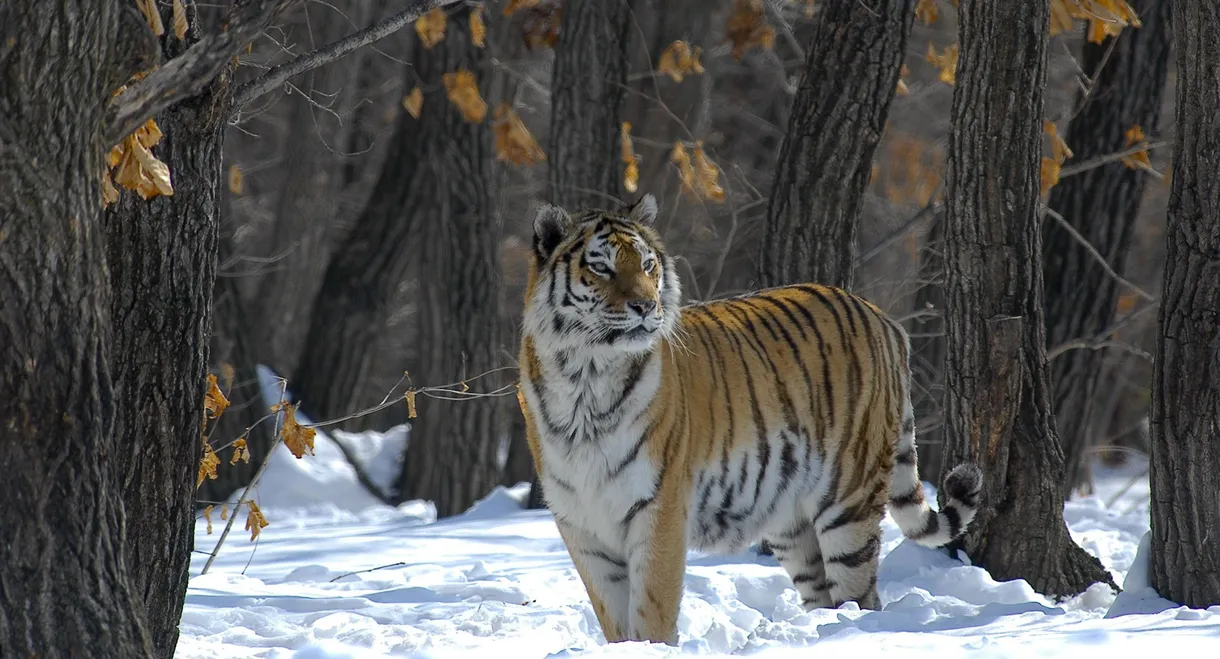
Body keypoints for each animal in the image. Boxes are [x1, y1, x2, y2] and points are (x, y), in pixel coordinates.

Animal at [516, 194, 983, 645]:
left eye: (648, 265)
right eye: (601, 268)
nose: (646, 306)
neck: (585, 379)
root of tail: (882, 317)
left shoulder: (659, 509)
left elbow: (652, 611)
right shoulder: (583, 526)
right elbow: (614, 620)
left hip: (849, 500)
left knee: (862, 595)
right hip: (791, 522)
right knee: (822, 592)